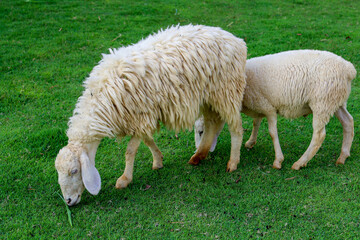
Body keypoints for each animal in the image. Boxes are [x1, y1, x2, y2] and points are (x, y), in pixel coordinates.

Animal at [54, 24, 248, 206]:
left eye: (74, 171)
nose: (68, 201)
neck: (100, 98)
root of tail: (236, 40)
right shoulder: (142, 118)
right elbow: (148, 141)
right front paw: (158, 161)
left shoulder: (141, 117)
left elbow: (130, 151)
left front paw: (124, 179)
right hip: (209, 97)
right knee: (211, 124)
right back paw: (198, 156)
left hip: (227, 90)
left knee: (236, 128)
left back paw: (232, 163)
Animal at [195, 50, 356, 171]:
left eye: (201, 132)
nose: (198, 151)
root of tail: (349, 69)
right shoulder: (259, 105)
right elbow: (256, 123)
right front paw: (250, 142)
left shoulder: (269, 108)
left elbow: (272, 133)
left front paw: (278, 161)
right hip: (336, 101)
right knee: (348, 122)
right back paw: (343, 156)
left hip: (322, 103)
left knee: (319, 135)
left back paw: (299, 163)